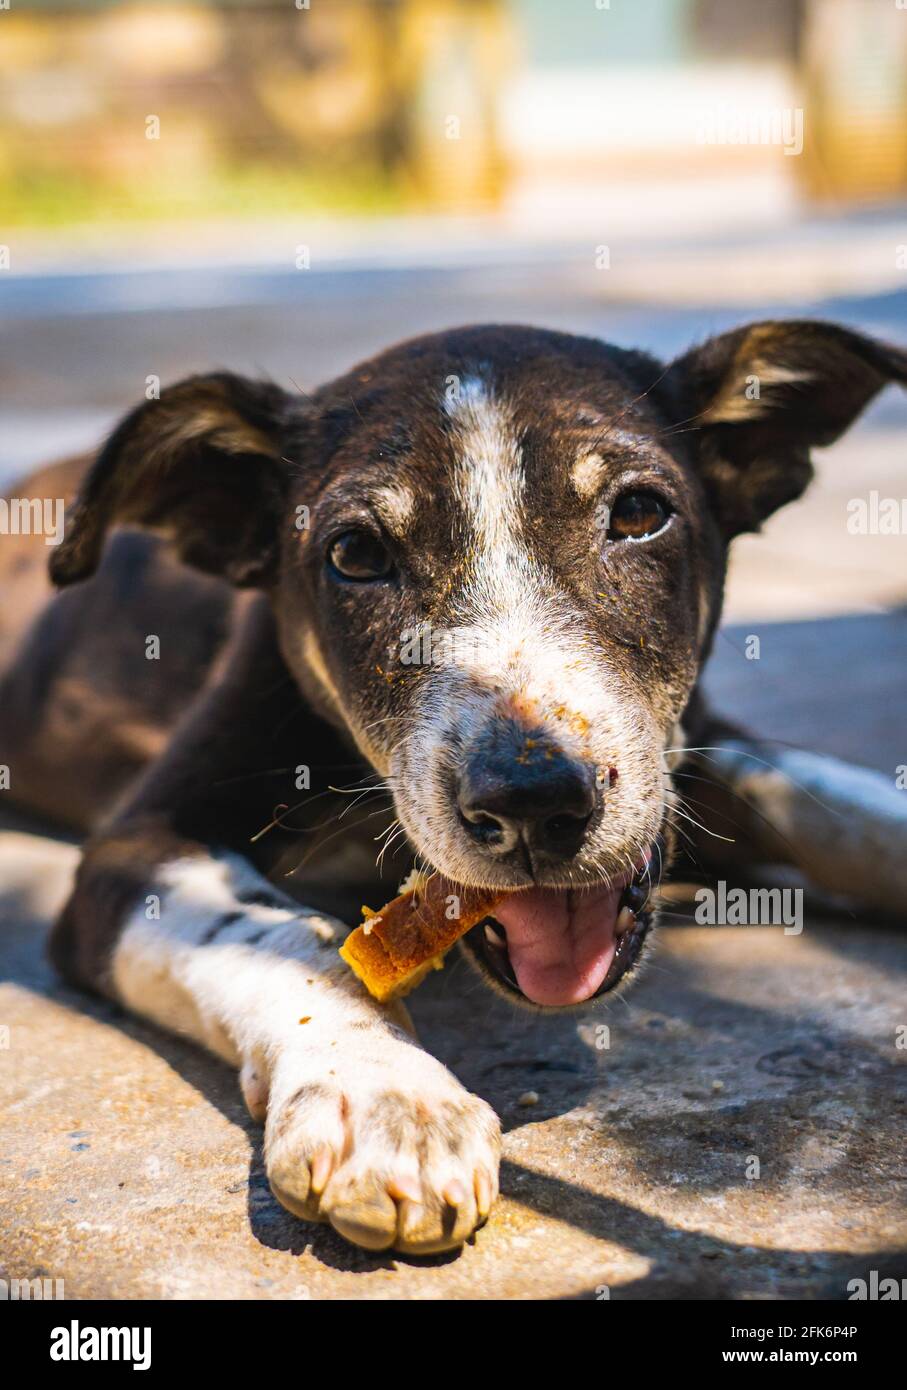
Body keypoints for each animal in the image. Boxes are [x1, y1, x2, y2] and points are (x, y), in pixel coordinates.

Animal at [1, 319, 905, 1256]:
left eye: (638, 514)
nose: (531, 804)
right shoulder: (135, 842)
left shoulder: (699, 750)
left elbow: (848, 804)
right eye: (355, 554)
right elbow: (279, 935)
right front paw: (383, 1094)